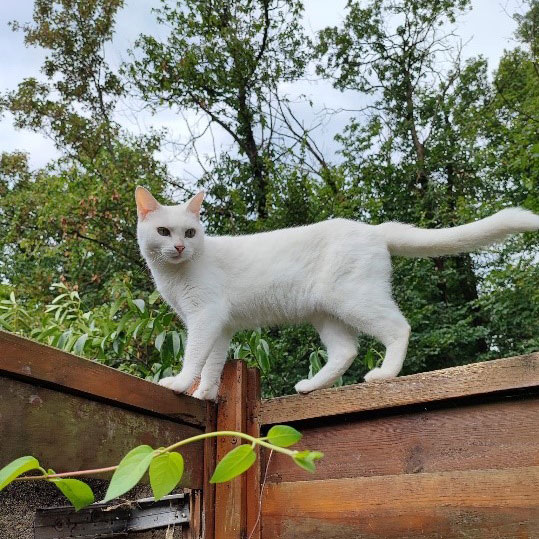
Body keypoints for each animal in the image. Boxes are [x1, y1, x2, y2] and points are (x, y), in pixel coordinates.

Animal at [136, 187, 539, 400]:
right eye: (164, 231)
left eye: (190, 233)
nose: (179, 248)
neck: (175, 274)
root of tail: (374, 229)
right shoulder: (221, 327)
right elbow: (213, 364)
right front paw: (204, 394)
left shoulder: (206, 318)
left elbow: (195, 357)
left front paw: (180, 384)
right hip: (326, 314)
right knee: (346, 351)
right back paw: (311, 385)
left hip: (355, 299)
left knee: (399, 328)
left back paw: (385, 374)